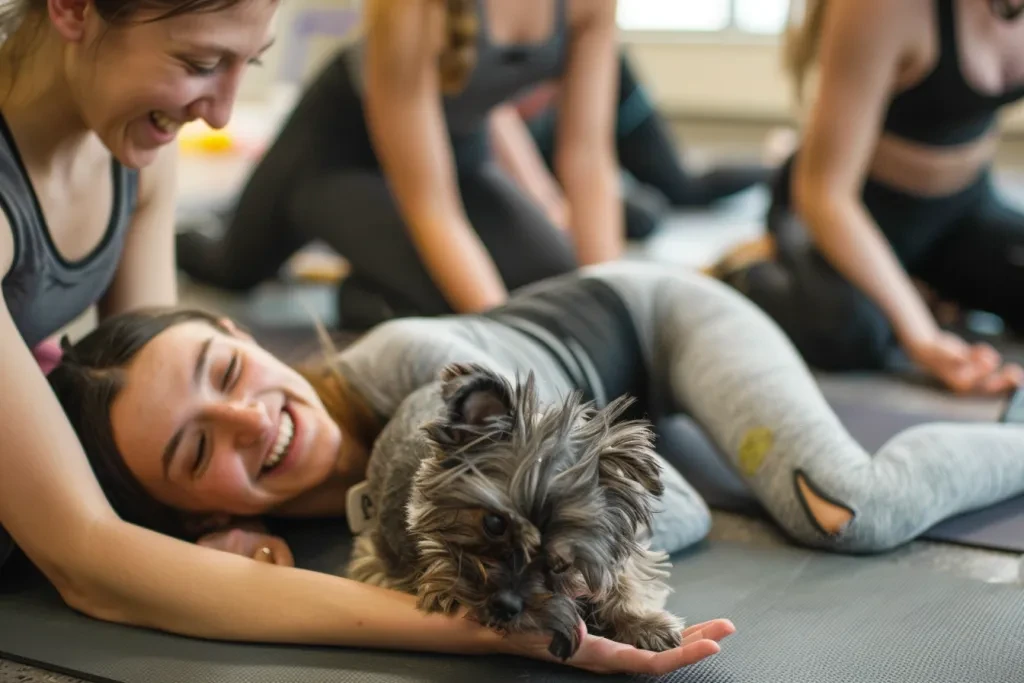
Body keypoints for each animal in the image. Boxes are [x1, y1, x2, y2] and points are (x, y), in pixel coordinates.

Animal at [346, 360, 688, 659]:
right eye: (494, 524)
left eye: (563, 564)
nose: (506, 606)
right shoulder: (379, 559)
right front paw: (440, 587)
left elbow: (626, 574)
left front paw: (645, 623)